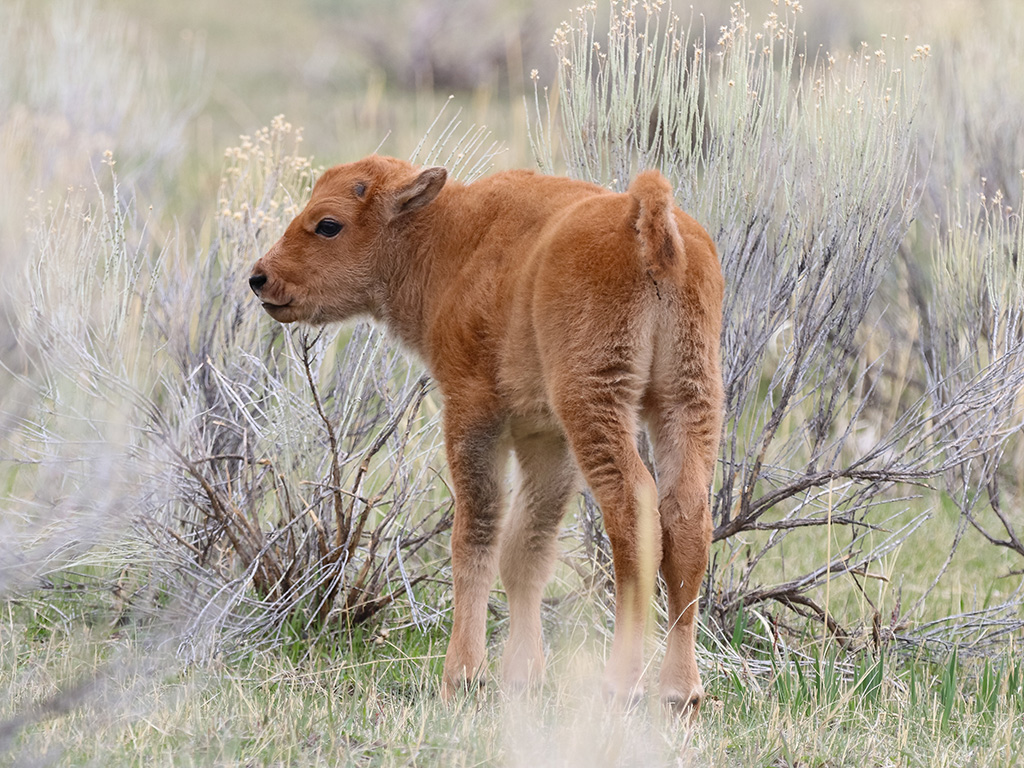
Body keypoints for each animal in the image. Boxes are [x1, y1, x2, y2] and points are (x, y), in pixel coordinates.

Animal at [250, 153, 724, 720]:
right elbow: (525, 550)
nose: (259, 278)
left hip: (596, 399)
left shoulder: (473, 411)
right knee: (687, 518)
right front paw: (522, 676)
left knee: (632, 508)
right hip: (684, 397)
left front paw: (462, 676)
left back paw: (621, 686)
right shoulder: (546, 437)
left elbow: (474, 533)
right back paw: (681, 692)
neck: (451, 237)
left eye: (327, 223)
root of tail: (647, 222)